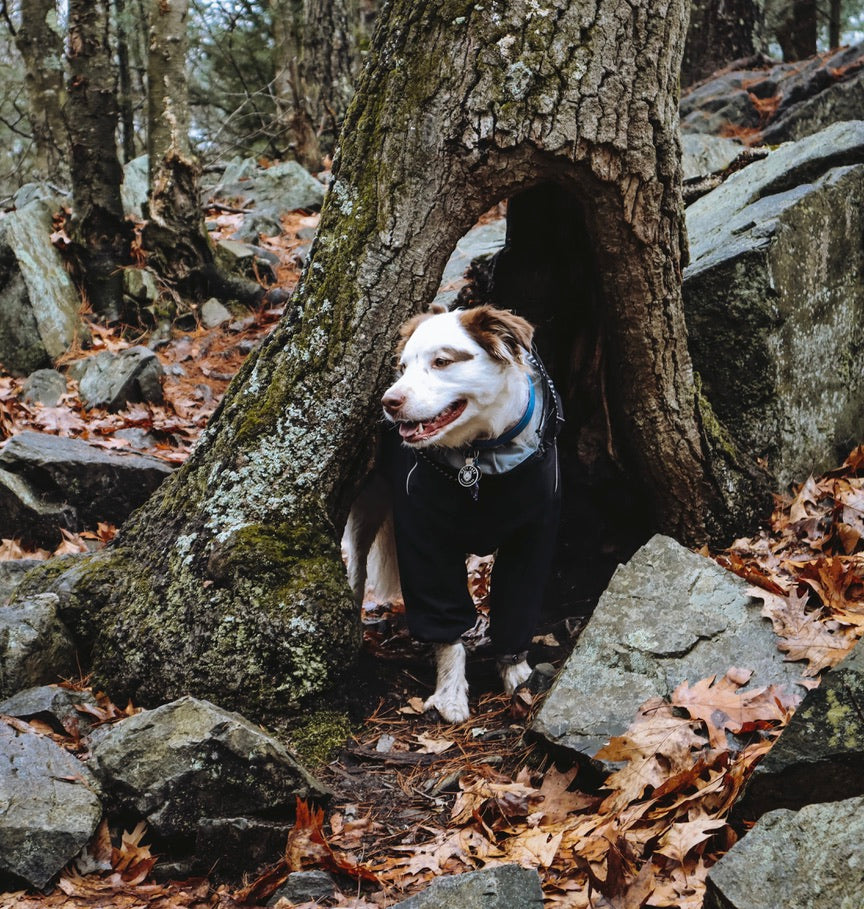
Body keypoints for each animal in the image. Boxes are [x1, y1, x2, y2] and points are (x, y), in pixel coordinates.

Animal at [348, 306, 564, 724]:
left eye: (442, 362)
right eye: (403, 366)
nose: (388, 402)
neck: (479, 457)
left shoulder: (532, 536)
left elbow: (516, 610)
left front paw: (518, 677)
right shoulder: (424, 538)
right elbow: (445, 625)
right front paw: (450, 695)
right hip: (369, 500)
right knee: (358, 560)